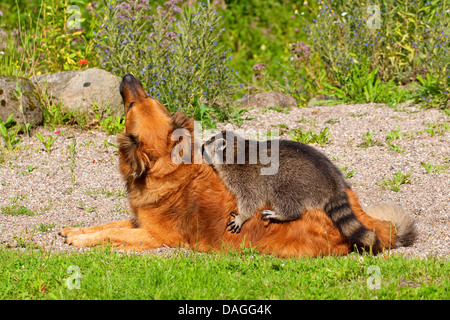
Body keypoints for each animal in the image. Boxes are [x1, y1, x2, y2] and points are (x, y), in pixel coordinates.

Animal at [202, 130, 382, 248]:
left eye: (206, 146)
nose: (201, 145)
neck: (238, 149)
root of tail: (333, 184)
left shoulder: (247, 179)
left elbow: (251, 201)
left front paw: (242, 217)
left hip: (293, 183)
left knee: (283, 197)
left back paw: (284, 214)